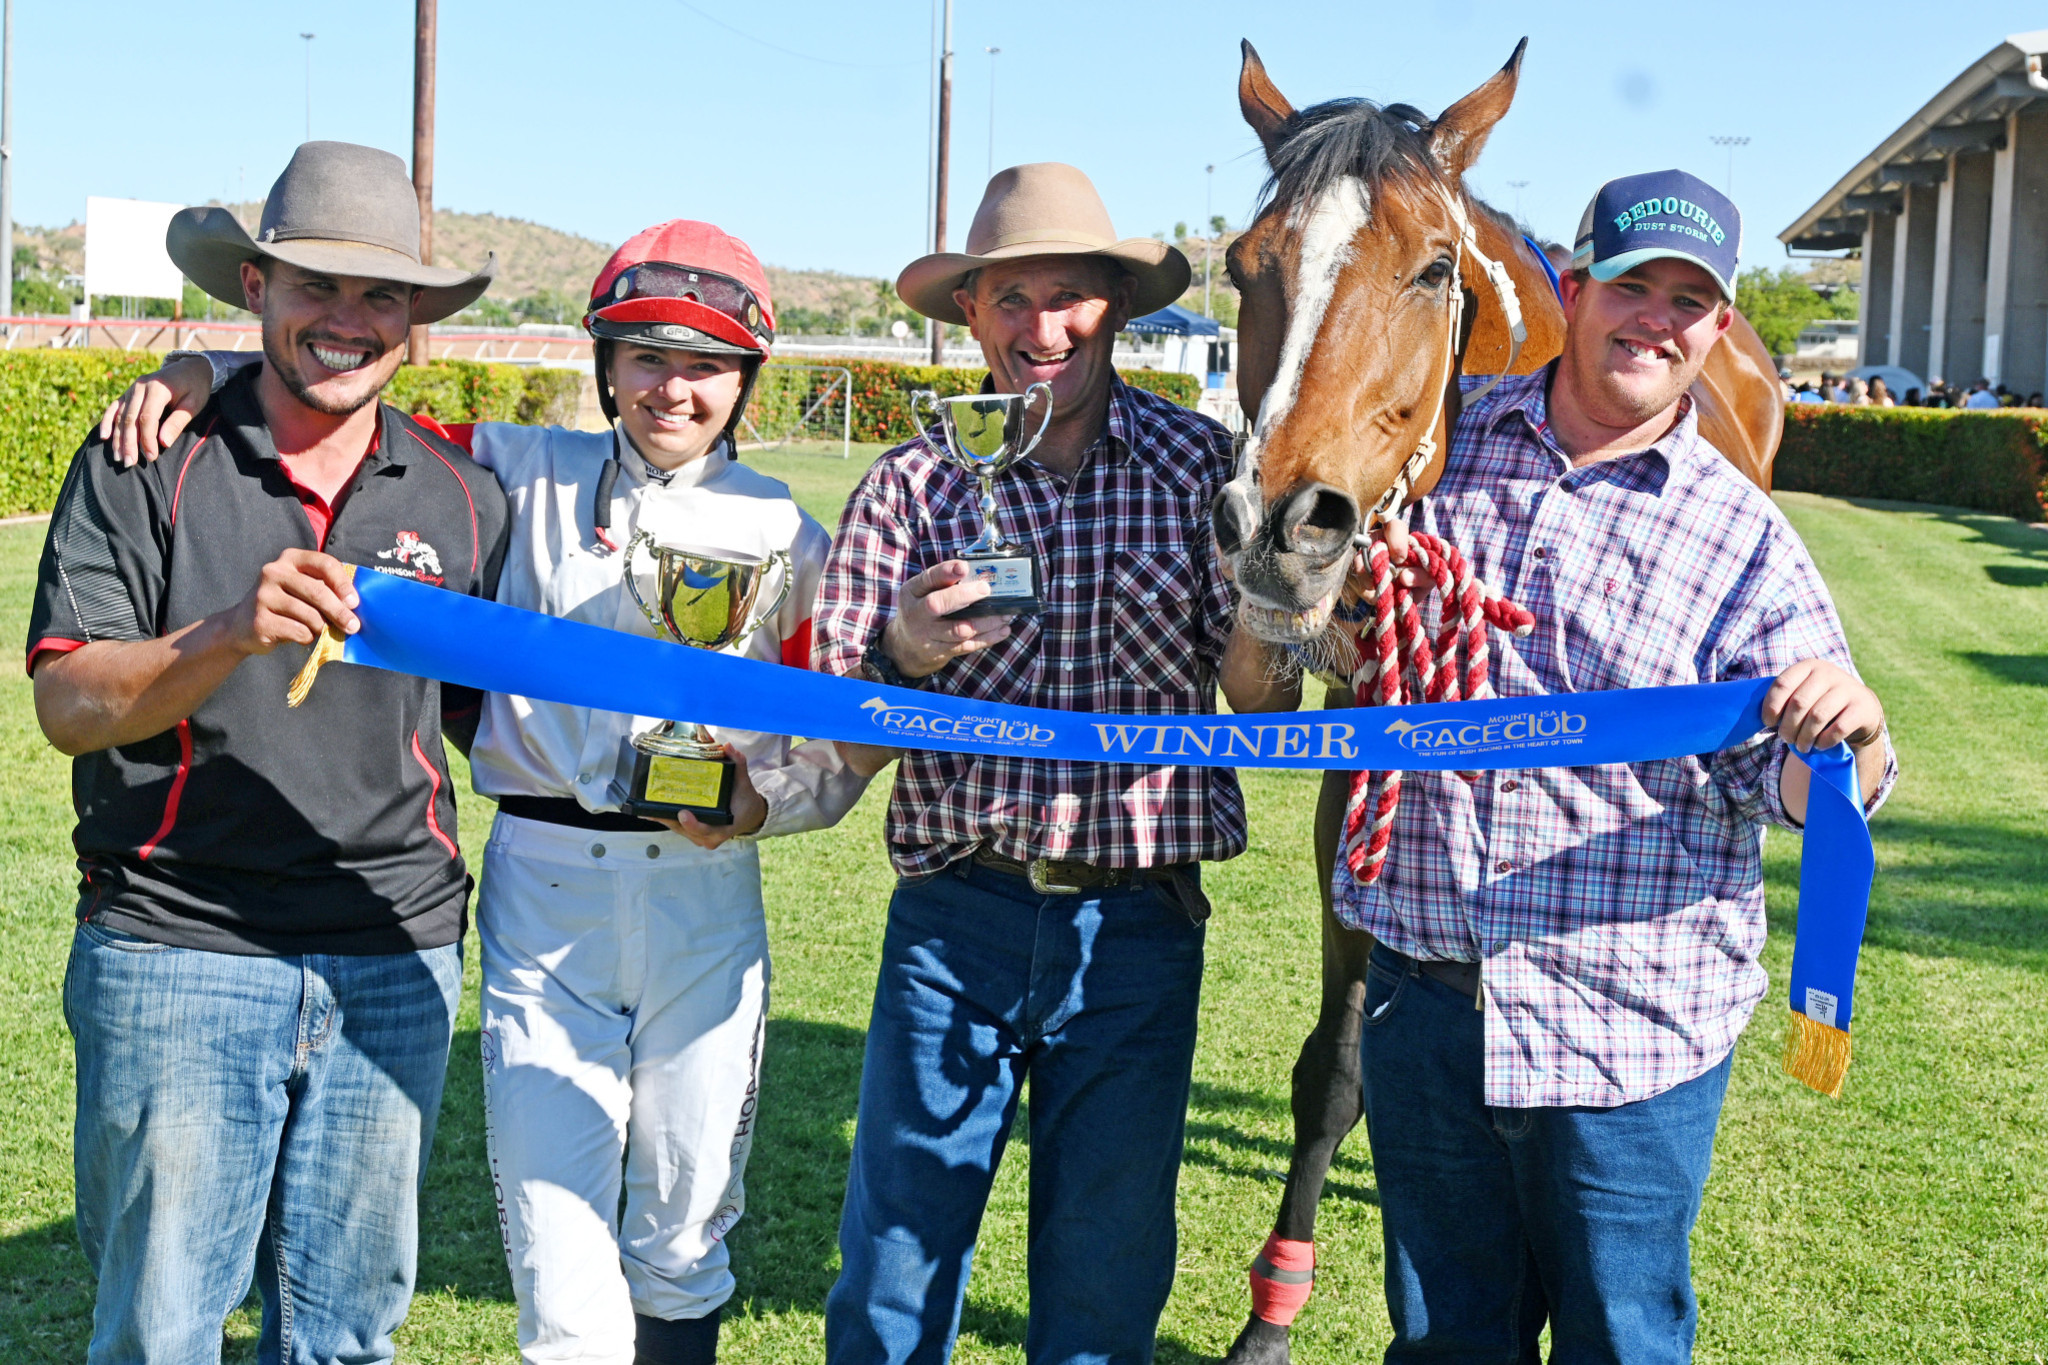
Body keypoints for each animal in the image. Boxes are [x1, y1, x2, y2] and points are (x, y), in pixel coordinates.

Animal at [1204, 37, 1785, 1358]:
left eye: (1431, 267)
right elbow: (1339, 1066)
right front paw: (1271, 1310)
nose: (1277, 529)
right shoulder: (1358, 777)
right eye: (1243, 266)